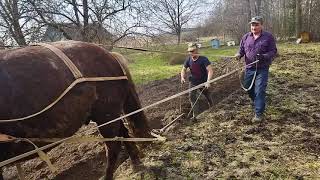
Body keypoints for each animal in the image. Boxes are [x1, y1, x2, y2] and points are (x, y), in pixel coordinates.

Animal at [0, 40, 151, 180]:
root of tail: (109, 54)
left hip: (106, 114)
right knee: (123, 134)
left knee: (113, 146)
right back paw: (136, 164)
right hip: (109, 114)